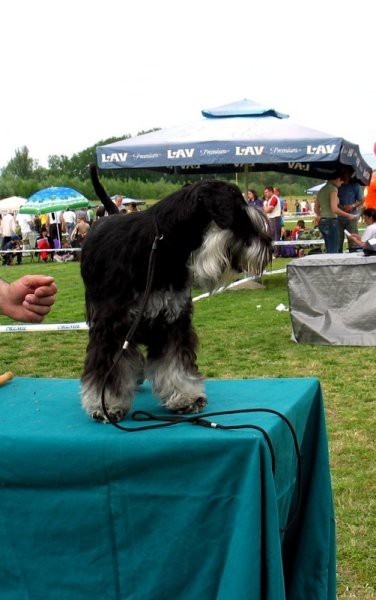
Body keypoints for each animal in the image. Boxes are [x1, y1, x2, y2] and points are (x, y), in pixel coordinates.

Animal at [81, 164, 272, 422]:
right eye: (243, 219)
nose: (269, 247)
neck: (159, 247)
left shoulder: (173, 320)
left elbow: (175, 365)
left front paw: (185, 397)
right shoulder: (110, 327)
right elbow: (107, 369)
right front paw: (106, 405)